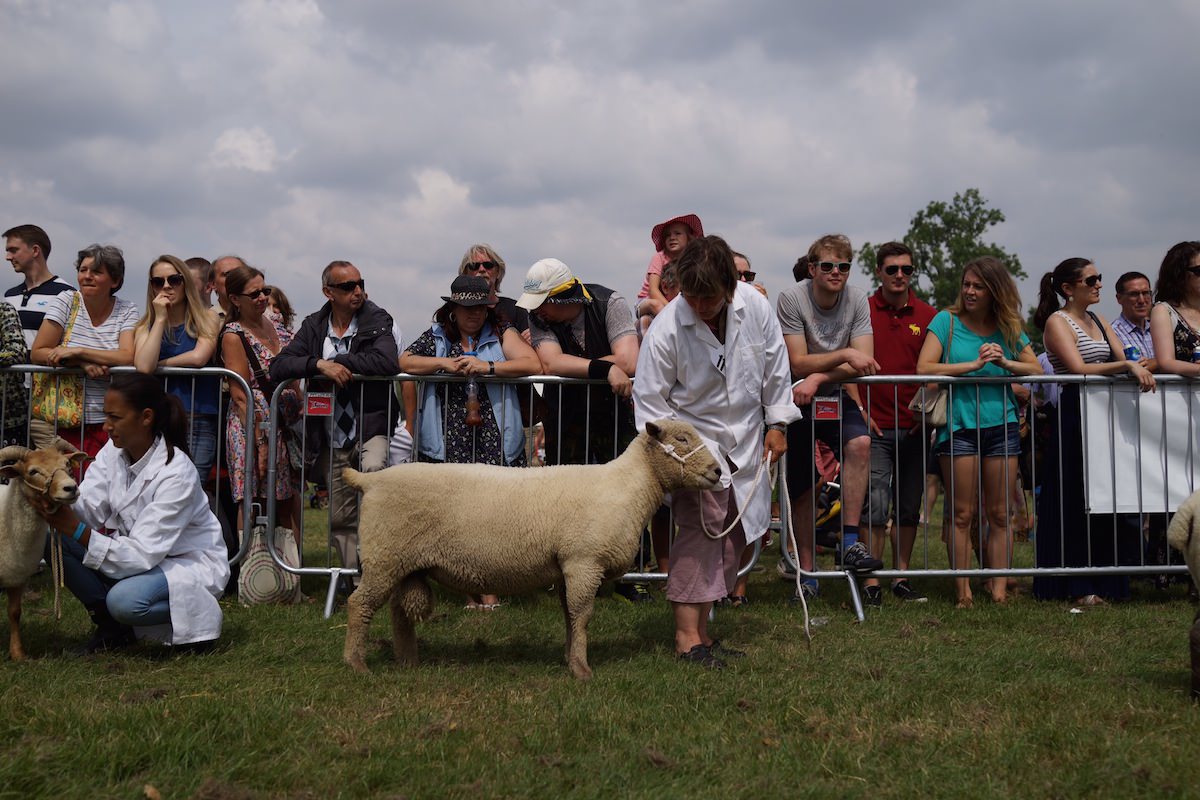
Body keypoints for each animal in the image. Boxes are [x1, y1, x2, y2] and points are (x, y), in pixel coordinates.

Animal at [0, 441, 87, 662]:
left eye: (67, 464)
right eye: (33, 471)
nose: (71, 488)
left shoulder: (18, 576)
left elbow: (15, 612)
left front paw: (18, 654)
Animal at [345, 419, 720, 681]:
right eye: (681, 439)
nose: (717, 471)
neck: (628, 486)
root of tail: (371, 481)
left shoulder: (567, 566)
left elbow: (570, 616)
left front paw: (570, 658)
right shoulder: (583, 561)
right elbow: (582, 615)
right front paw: (582, 670)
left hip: (403, 562)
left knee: (398, 612)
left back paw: (407, 661)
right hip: (384, 557)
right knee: (359, 605)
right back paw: (357, 665)